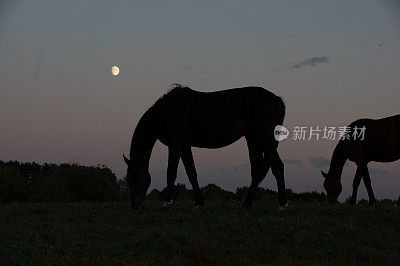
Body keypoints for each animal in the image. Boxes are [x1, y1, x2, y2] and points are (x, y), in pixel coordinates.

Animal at [122, 85, 288, 210]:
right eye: (128, 179)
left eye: (135, 177)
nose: (135, 205)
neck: (168, 112)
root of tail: (278, 100)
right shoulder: (184, 146)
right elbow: (191, 173)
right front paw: (199, 202)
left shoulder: (175, 145)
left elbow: (171, 172)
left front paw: (167, 202)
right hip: (254, 141)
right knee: (269, 169)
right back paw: (268, 204)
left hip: (264, 140)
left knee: (268, 168)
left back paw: (260, 204)